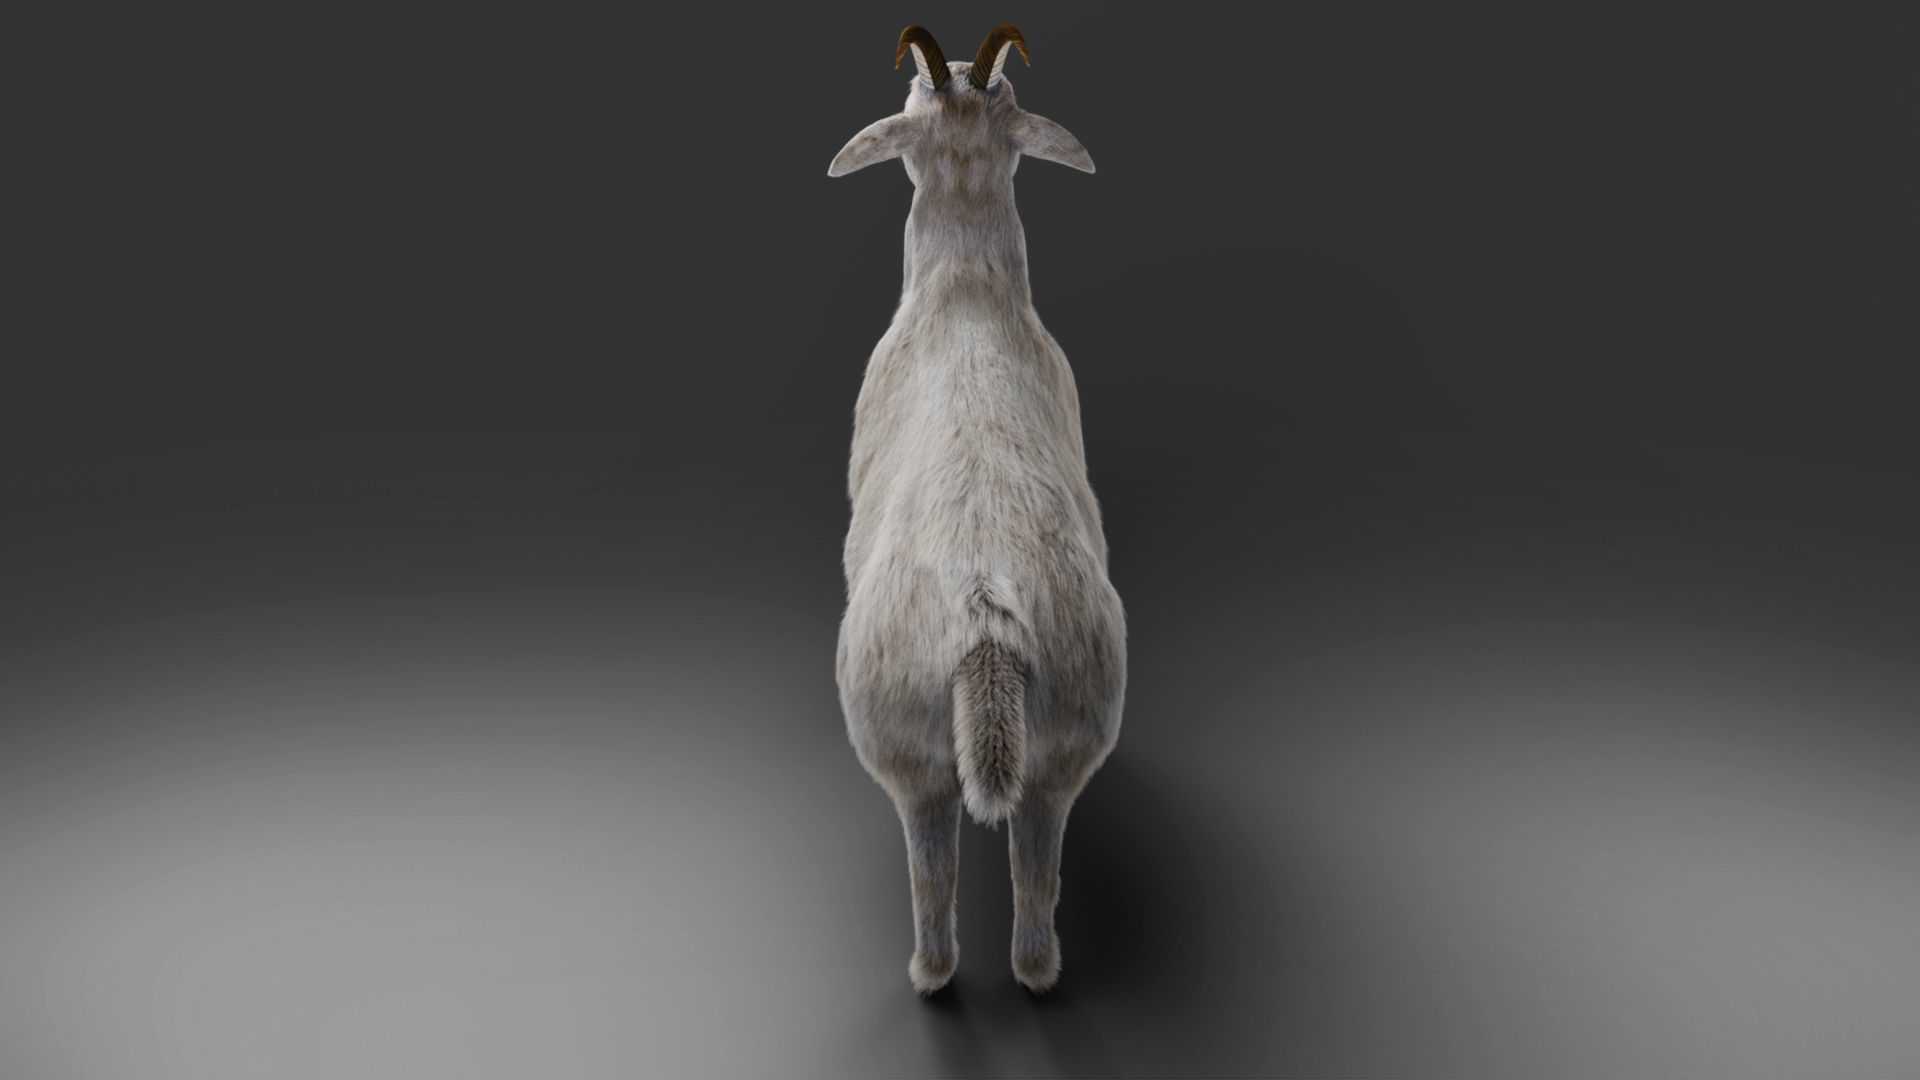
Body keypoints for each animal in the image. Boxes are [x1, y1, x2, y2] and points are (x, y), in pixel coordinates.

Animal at [828, 24, 1125, 995]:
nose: (956, 69)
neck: (964, 284)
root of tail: (986, 621)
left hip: (905, 749)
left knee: (931, 866)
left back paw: (928, 975)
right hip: (1064, 740)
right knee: (1036, 867)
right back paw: (1037, 973)